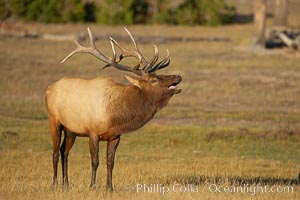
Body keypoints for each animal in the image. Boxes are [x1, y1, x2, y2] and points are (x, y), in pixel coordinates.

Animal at [45, 27, 182, 191]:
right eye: (153, 80)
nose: (178, 76)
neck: (115, 115)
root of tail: (49, 89)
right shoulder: (93, 132)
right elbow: (95, 161)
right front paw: (92, 186)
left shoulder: (115, 136)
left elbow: (110, 162)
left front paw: (109, 187)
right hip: (54, 121)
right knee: (55, 152)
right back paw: (54, 184)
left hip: (71, 129)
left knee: (64, 151)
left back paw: (66, 183)